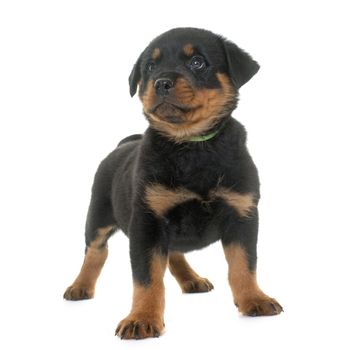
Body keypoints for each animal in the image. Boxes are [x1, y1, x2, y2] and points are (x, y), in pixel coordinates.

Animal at [64, 26, 284, 340]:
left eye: (197, 62)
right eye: (150, 67)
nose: (162, 82)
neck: (192, 145)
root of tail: (123, 144)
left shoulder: (242, 214)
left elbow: (244, 264)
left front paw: (254, 298)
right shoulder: (148, 223)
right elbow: (147, 278)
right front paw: (141, 318)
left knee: (175, 252)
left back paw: (192, 279)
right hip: (99, 214)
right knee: (95, 251)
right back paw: (80, 286)